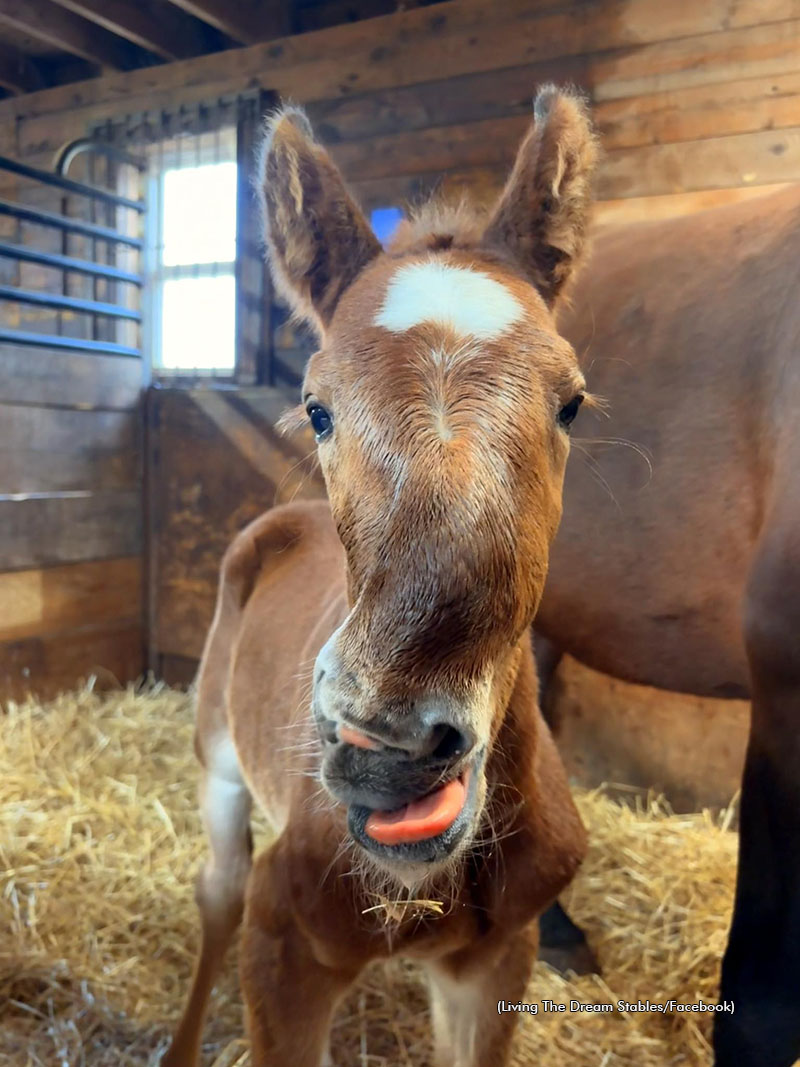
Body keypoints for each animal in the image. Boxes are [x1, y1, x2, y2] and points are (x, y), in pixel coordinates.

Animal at [164, 84, 599, 1067]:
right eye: (316, 406)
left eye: (572, 403)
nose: (392, 753)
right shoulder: (283, 952)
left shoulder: (495, 962)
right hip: (217, 753)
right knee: (216, 888)